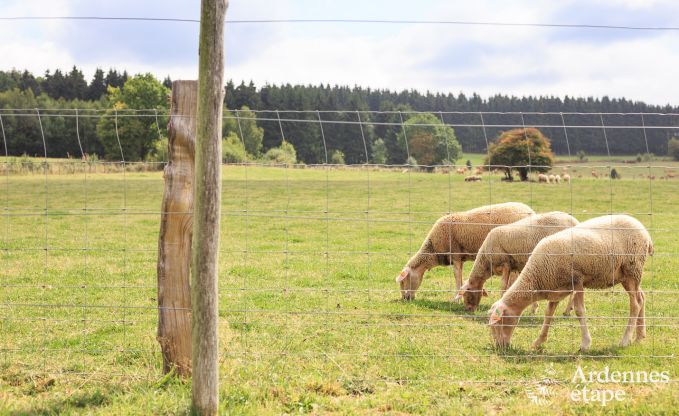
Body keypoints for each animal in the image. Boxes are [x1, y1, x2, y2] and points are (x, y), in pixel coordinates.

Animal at [396, 201, 540, 300]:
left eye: (403, 281)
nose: (405, 299)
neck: (433, 251)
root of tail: (530, 211)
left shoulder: (455, 255)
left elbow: (457, 276)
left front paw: (456, 298)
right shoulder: (460, 257)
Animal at [488, 214, 652, 352]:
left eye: (498, 323)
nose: (499, 347)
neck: (535, 277)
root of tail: (645, 233)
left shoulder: (577, 281)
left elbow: (580, 311)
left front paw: (585, 344)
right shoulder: (554, 289)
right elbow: (548, 314)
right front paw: (539, 341)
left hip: (632, 269)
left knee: (635, 303)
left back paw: (625, 340)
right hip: (627, 276)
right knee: (642, 297)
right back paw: (639, 336)